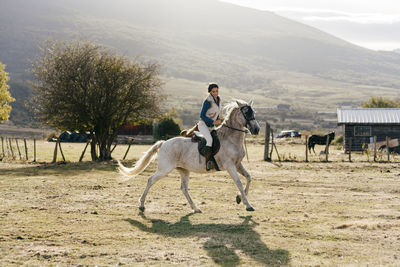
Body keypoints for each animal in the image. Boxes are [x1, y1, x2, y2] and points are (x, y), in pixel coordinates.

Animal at [118, 100, 262, 214]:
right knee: (150, 180)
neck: (230, 138)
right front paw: (248, 205)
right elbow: (238, 183)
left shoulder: (237, 164)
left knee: (184, 188)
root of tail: (164, 143)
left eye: (253, 112)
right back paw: (142, 205)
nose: (256, 130)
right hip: (164, 169)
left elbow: (249, 178)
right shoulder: (230, 166)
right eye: (247, 113)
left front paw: (239, 198)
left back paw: (196, 208)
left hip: (184, 170)